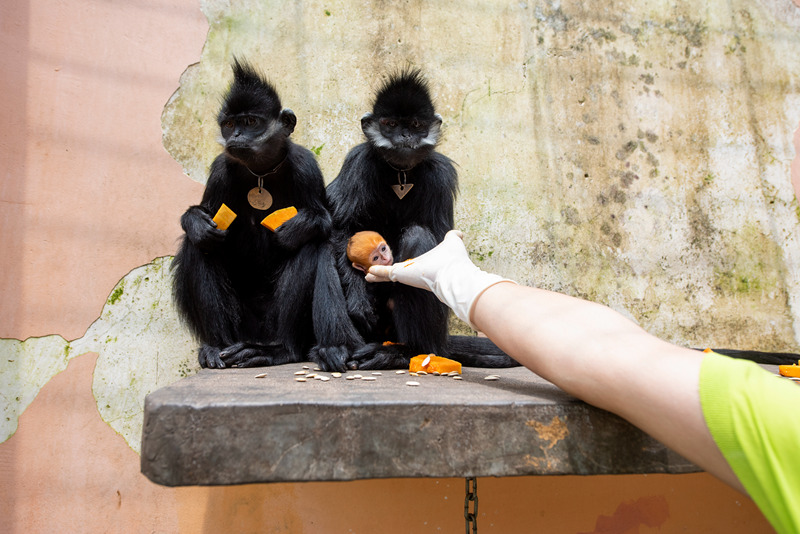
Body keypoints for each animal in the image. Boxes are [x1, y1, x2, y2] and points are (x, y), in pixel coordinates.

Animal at [177, 60, 364, 372]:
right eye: (230, 125)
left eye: (251, 122)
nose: (236, 136)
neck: (261, 173)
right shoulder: (220, 170)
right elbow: (203, 220)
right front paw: (195, 221)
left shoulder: (305, 166)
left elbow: (325, 221)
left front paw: (297, 227)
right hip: (242, 325)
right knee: (199, 244)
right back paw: (217, 346)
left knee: (310, 245)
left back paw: (280, 349)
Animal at [324, 69, 520, 372]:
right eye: (390, 124)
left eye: (416, 124)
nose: (404, 135)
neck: (401, 174)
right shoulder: (358, 163)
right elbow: (341, 228)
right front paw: (357, 297)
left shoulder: (440, 174)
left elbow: (439, 240)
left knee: (417, 237)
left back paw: (406, 351)